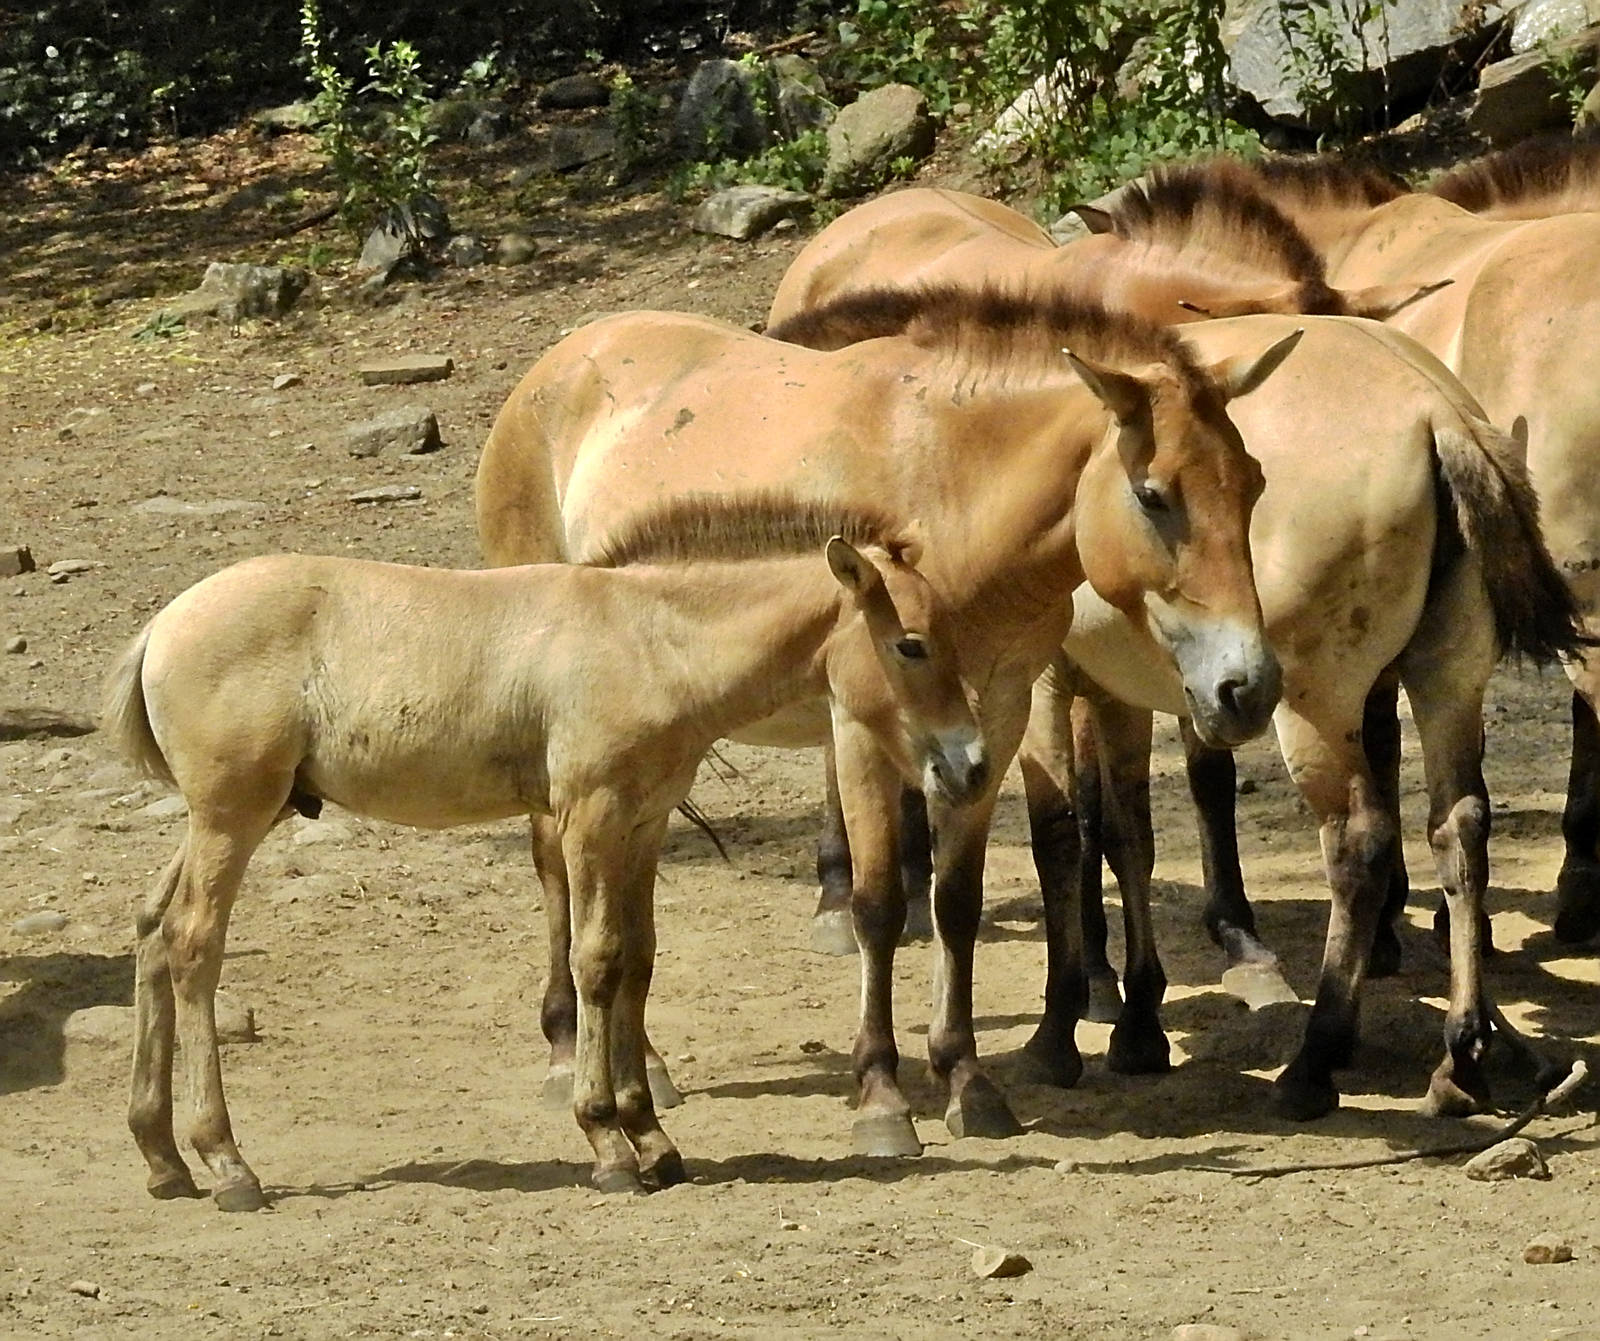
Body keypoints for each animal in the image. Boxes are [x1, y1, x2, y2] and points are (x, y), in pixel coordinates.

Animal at [101, 493, 990, 1208]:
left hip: (229, 816)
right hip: (232, 816)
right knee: (193, 944)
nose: (972, 764)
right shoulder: (590, 815)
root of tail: (162, 625)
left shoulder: (643, 824)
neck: (649, 641)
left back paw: (162, 1157)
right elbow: (595, 960)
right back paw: (227, 1162)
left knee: (150, 929)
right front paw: (606, 1141)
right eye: (911, 643)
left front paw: (654, 1138)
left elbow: (637, 961)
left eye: (953, 632)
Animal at [476, 286, 1297, 1154]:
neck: (945, 495)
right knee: (556, 866)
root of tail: (558, 365)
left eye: (1252, 483)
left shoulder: (996, 716)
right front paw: (881, 1092)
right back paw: (573, 1050)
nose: (1249, 685)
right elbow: (878, 904)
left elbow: (957, 903)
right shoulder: (862, 731)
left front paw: (966, 1077)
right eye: (1153, 494)